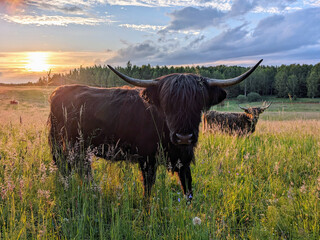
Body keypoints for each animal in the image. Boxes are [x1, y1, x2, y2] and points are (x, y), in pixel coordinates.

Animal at [48, 59, 262, 200]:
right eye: (168, 104)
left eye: (198, 103)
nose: (184, 137)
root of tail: (59, 91)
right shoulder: (147, 159)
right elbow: (148, 189)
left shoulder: (183, 158)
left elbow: (188, 188)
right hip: (66, 145)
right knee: (69, 167)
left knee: (81, 168)